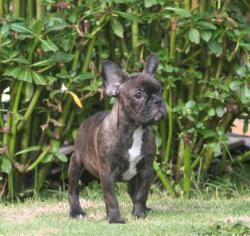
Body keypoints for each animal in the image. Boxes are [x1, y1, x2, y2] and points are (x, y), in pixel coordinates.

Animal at [67, 53, 167, 223]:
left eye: (160, 90)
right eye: (138, 95)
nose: (158, 101)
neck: (134, 130)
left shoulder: (146, 170)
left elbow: (142, 194)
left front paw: (139, 213)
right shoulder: (107, 173)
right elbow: (111, 198)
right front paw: (115, 219)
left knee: (134, 192)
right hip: (76, 163)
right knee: (73, 189)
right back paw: (76, 211)